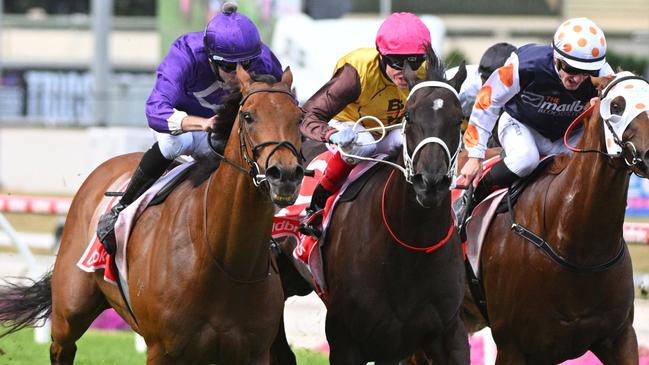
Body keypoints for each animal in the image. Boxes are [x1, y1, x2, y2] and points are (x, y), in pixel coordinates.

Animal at [0, 66, 304, 364]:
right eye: (248, 116)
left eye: (299, 118)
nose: (285, 174)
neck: (224, 260)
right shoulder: (162, 350)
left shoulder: (254, 353)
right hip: (69, 310)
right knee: (62, 347)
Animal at [270, 46, 468, 364]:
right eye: (409, 115)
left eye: (459, 117)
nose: (431, 182)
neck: (410, 248)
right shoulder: (346, 339)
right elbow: (314, 113)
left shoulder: (446, 333)